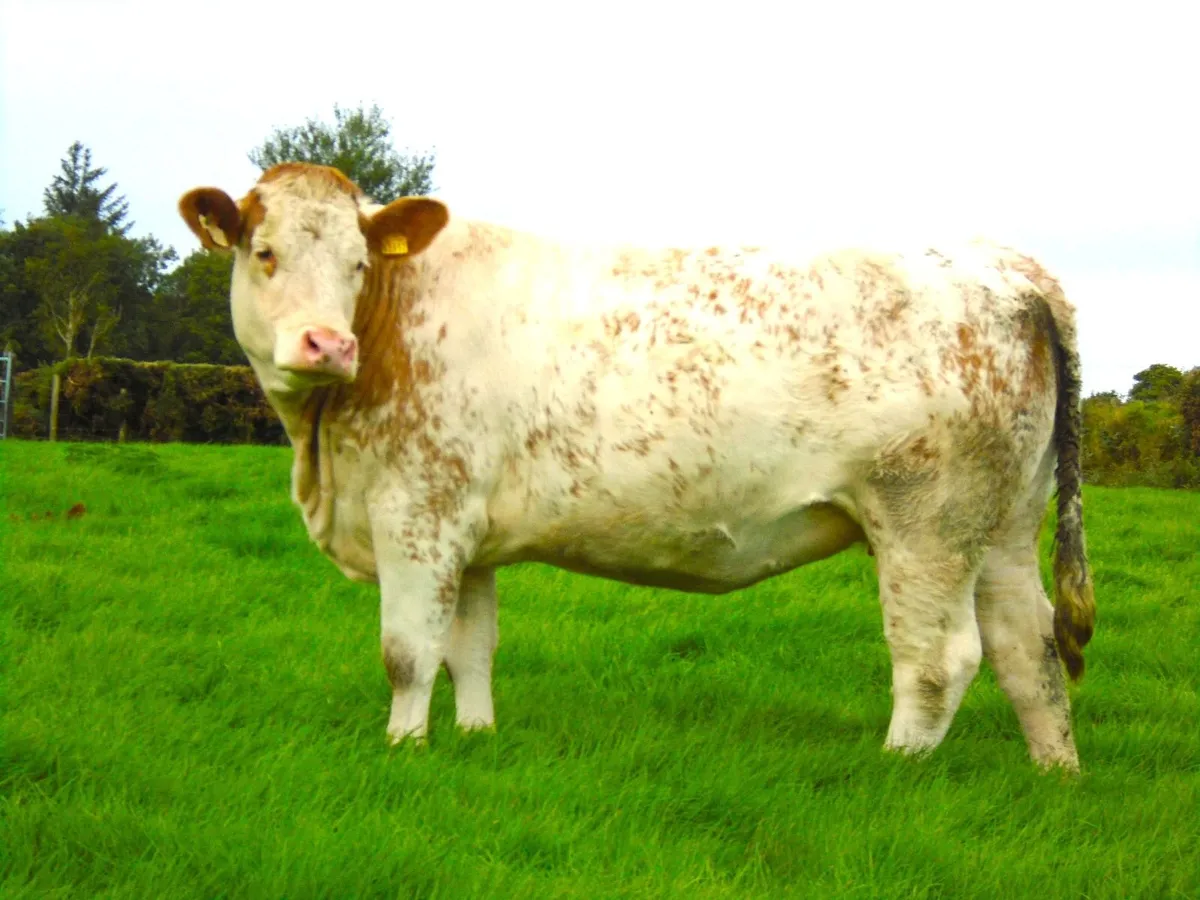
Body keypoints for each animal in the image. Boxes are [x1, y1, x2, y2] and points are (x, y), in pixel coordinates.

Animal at [178, 163, 1096, 771]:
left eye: (358, 264)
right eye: (263, 252)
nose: (325, 344)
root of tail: (1007, 265)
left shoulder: (417, 514)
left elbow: (409, 651)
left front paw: (403, 750)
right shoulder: (465, 531)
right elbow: (469, 650)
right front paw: (475, 740)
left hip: (927, 525)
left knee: (941, 658)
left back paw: (895, 772)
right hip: (1002, 525)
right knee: (1030, 648)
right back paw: (1054, 774)